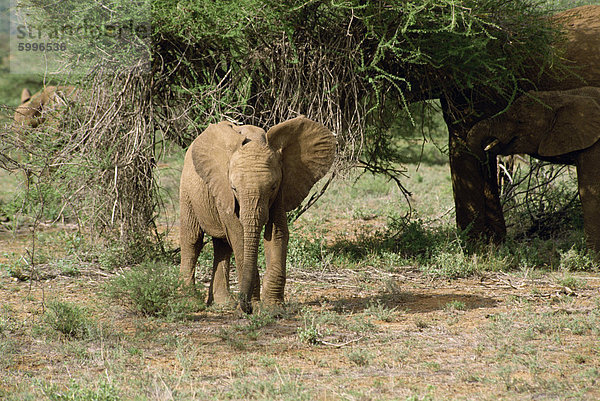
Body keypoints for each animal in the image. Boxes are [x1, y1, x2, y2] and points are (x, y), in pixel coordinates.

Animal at [178, 115, 338, 312]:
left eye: (273, 187)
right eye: (234, 188)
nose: (245, 306)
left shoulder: (281, 190)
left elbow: (276, 233)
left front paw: (273, 309)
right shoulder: (224, 190)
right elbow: (239, 236)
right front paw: (255, 306)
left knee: (222, 245)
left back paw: (224, 303)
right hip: (187, 190)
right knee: (192, 239)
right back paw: (192, 303)